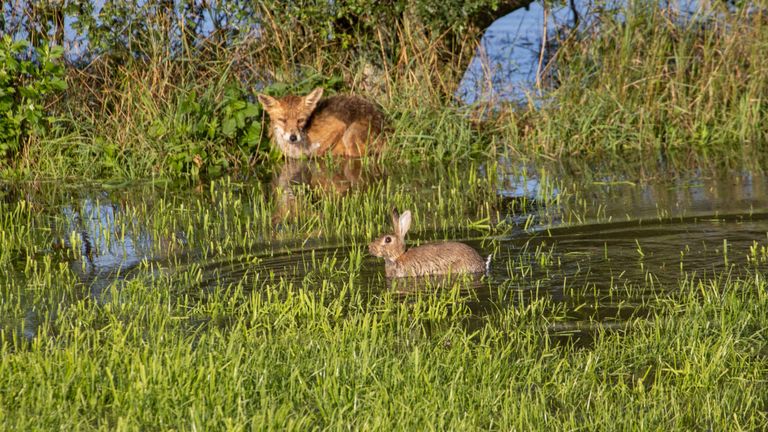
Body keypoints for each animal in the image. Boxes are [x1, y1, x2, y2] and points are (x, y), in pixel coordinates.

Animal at [258, 87, 388, 159]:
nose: (293, 137)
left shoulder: (339, 126)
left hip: (349, 136)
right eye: (282, 120)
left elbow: (317, 152)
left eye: (300, 120)